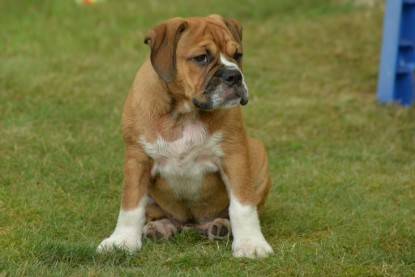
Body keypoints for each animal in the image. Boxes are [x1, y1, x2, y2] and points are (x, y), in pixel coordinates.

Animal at [96, 14, 274, 256]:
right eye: (201, 58)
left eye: (238, 55)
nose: (234, 76)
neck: (184, 112)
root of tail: (192, 224)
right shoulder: (137, 159)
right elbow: (130, 204)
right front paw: (121, 241)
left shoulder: (235, 156)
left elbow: (243, 204)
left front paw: (251, 244)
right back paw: (160, 228)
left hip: (257, 150)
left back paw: (221, 226)